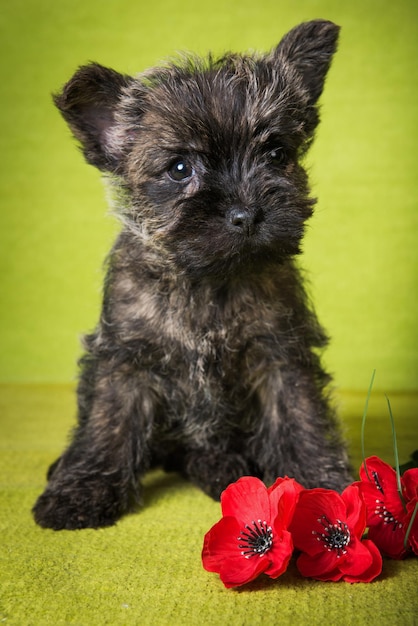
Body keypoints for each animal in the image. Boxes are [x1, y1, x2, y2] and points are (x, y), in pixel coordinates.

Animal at [33, 18, 352, 528]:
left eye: (276, 153)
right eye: (179, 168)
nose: (247, 213)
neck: (207, 283)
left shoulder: (280, 354)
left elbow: (301, 417)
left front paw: (322, 479)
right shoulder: (126, 360)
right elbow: (107, 425)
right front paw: (81, 488)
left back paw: (221, 468)